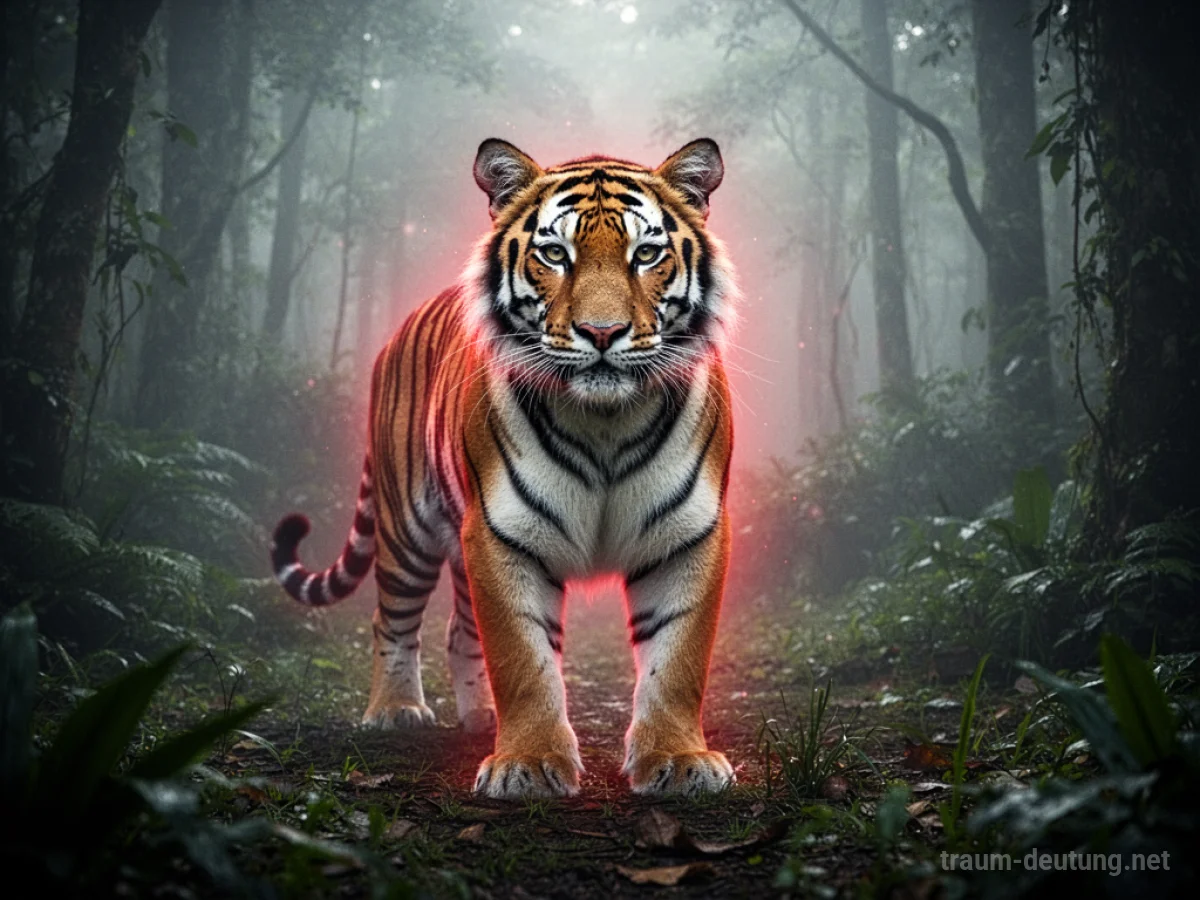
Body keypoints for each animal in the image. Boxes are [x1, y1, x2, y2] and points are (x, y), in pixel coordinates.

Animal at [270, 137, 740, 799]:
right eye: (554, 254)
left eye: (646, 254)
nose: (601, 332)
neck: (606, 424)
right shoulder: (503, 535)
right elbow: (523, 657)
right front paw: (530, 765)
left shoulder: (688, 534)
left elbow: (677, 659)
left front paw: (678, 760)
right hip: (408, 529)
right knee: (393, 620)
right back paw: (395, 711)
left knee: (458, 631)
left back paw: (480, 719)